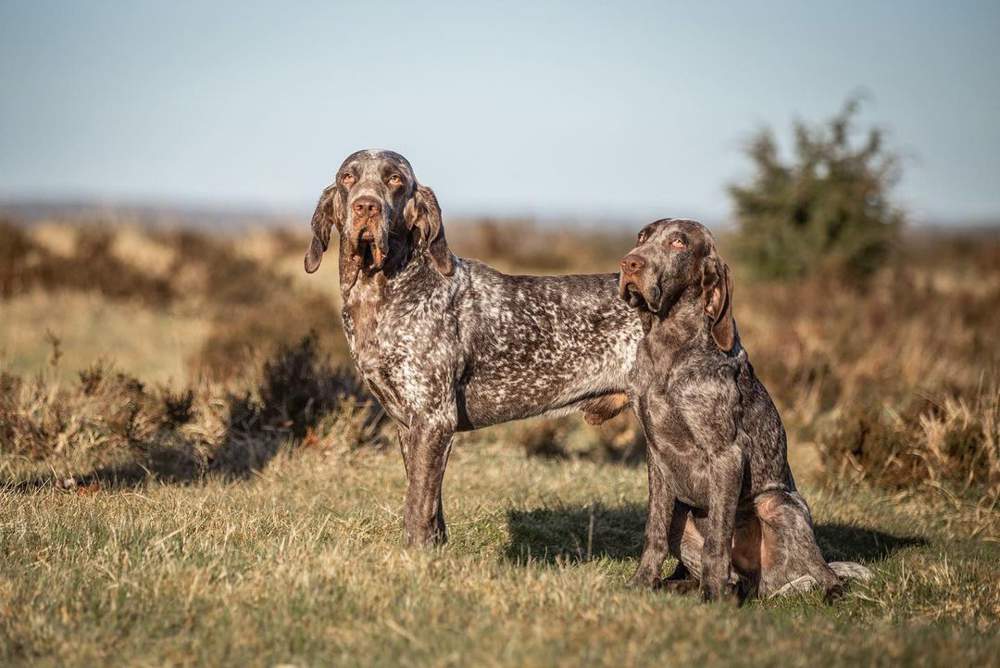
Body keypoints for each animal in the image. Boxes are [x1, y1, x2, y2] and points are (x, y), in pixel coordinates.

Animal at [304, 151, 640, 548]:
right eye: (348, 177)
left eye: (394, 179)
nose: (366, 206)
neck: (383, 291)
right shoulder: (409, 424)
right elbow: (430, 502)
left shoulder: (434, 418)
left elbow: (417, 504)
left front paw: (415, 553)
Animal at [616, 218, 868, 600]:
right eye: (642, 237)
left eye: (678, 243)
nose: (630, 263)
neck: (669, 349)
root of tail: (763, 586)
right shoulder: (657, 458)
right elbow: (654, 532)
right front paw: (643, 582)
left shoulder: (726, 456)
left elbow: (718, 540)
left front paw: (713, 596)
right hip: (684, 519)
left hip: (778, 505)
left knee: (826, 573)